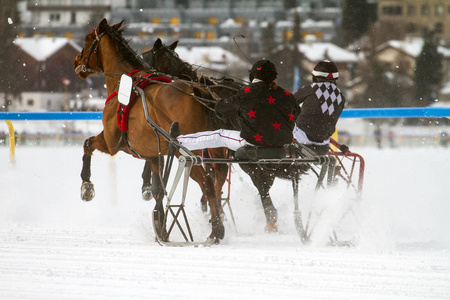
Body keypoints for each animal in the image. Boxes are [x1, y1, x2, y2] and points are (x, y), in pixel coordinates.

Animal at [75, 19, 227, 241]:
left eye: (87, 40)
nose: (76, 61)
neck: (125, 84)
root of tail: (197, 90)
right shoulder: (155, 154)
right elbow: (158, 189)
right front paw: (161, 225)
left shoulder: (112, 143)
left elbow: (87, 144)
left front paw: (86, 185)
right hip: (214, 147)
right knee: (219, 177)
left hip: (186, 152)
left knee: (207, 182)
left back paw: (216, 228)